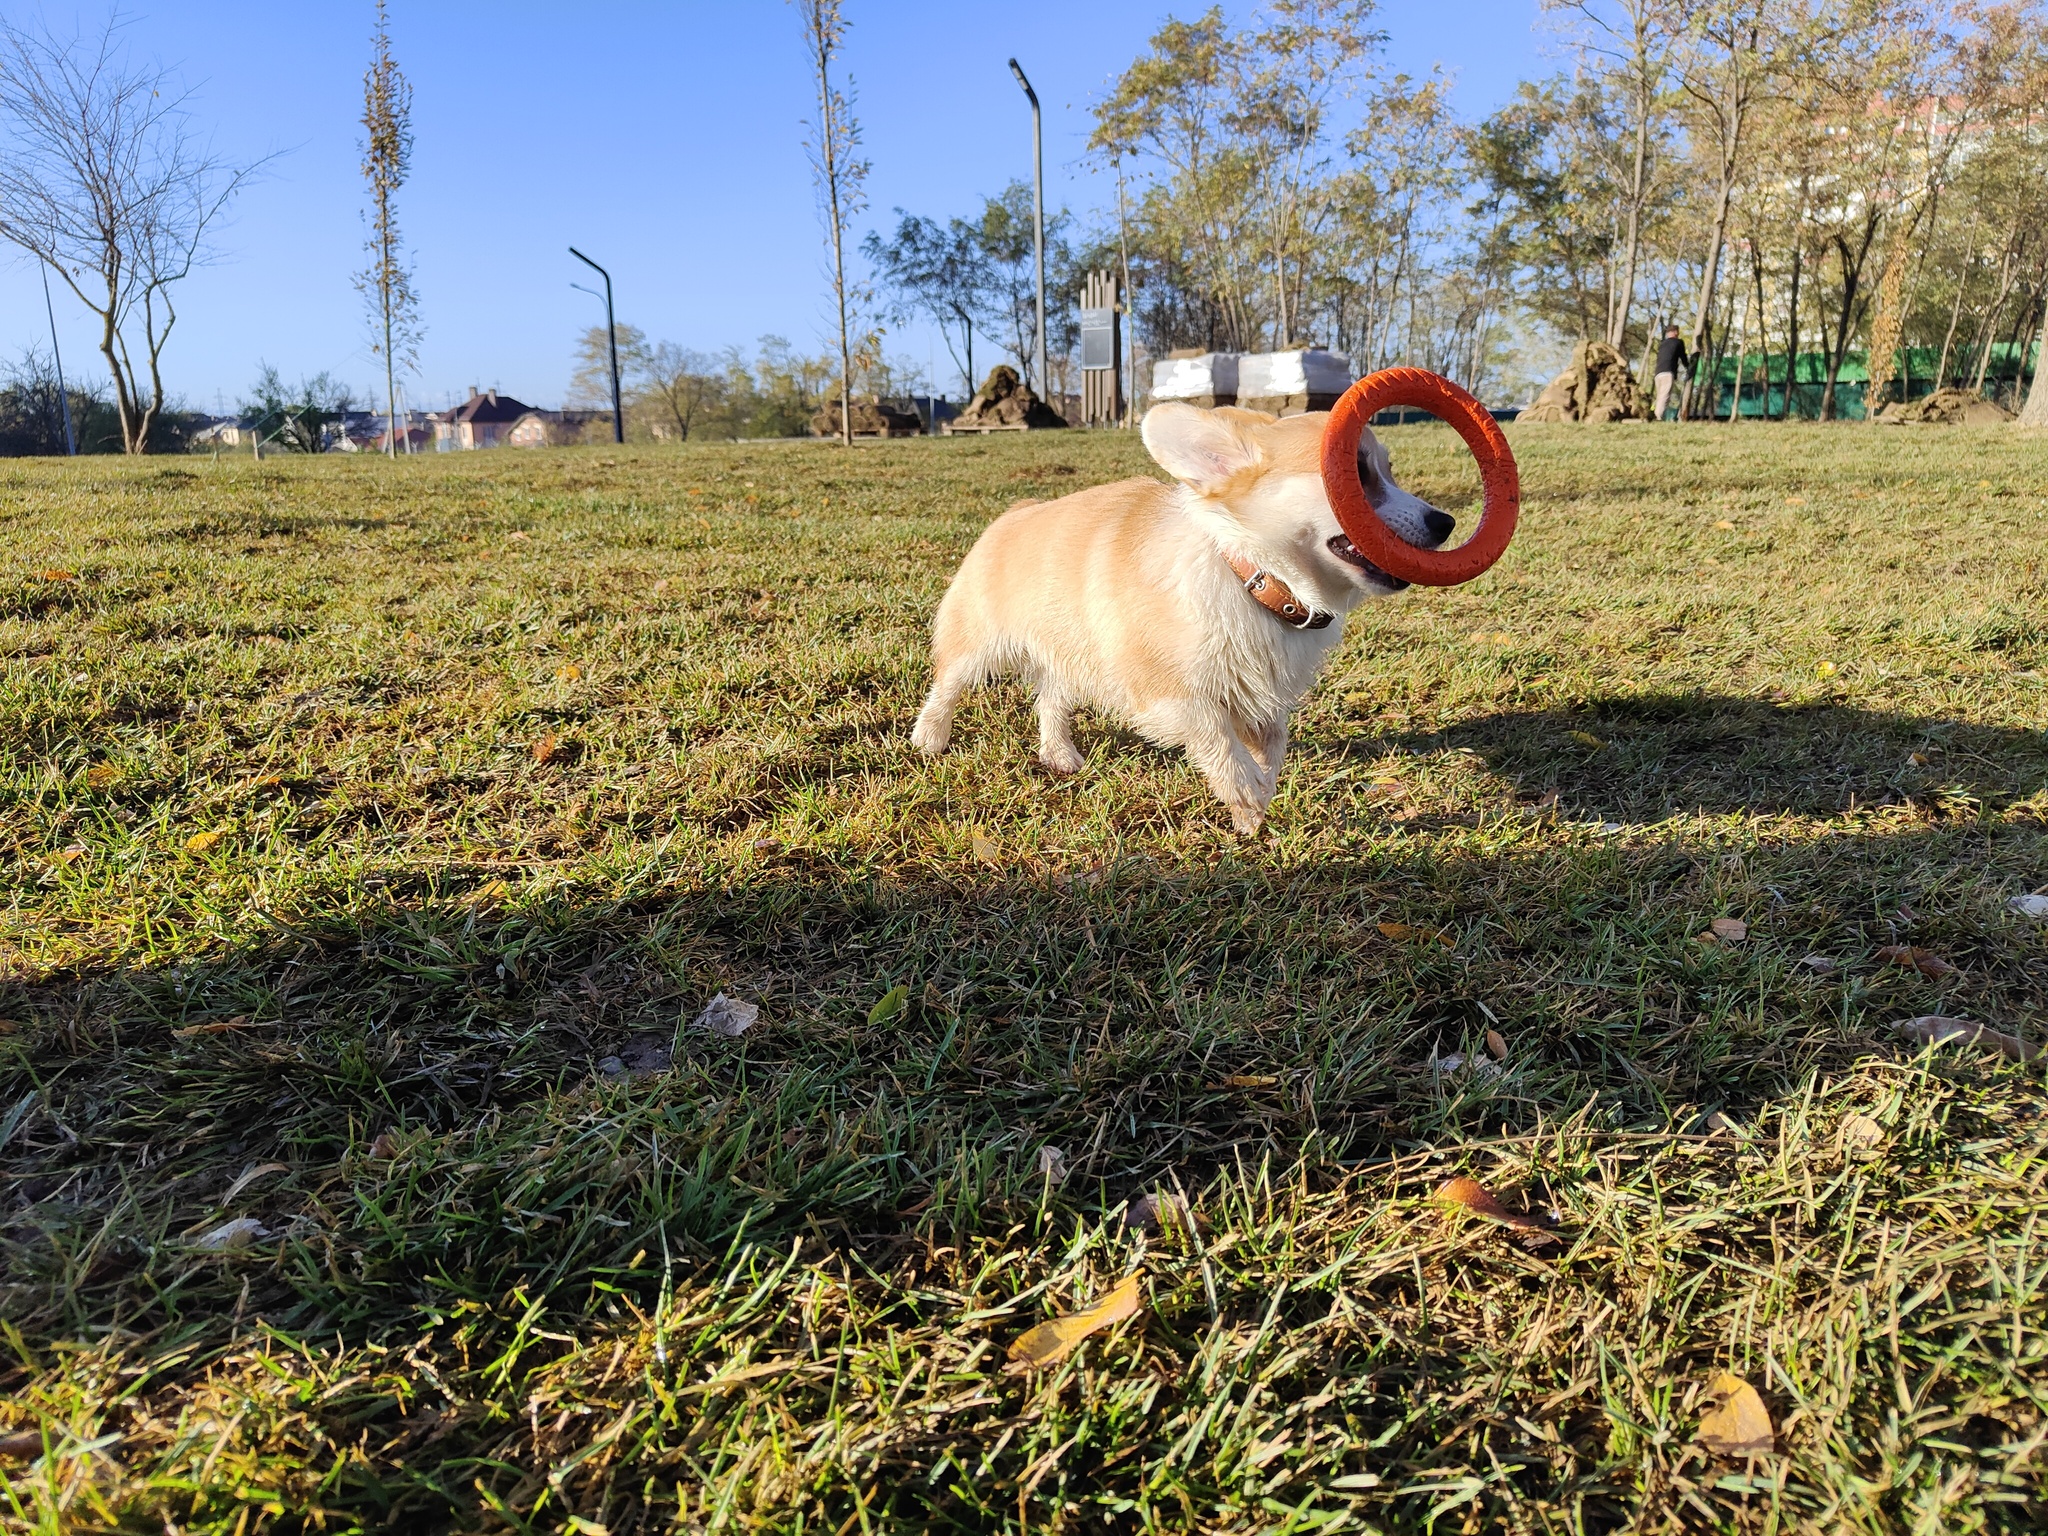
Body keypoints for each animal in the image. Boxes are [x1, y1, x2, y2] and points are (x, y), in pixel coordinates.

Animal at [913, 397, 1458, 831]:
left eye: (1387, 471)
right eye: (1358, 475)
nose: (1446, 522)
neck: (1253, 578)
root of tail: (1013, 513)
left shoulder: (1263, 701)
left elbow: (1273, 748)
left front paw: (1256, 802)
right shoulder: (1168, 693)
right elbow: (1220, 742)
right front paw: (1247, 793)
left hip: (1070, 652)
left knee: (1051, 699)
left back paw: (1060, 755)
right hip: (978, 644)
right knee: (947, 685)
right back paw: (929, 739)